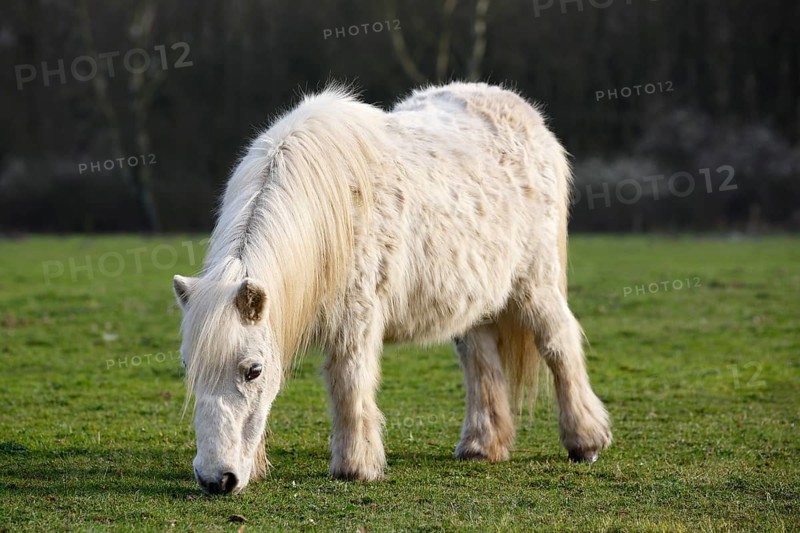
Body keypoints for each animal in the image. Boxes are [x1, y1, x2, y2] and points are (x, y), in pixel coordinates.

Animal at [173, 82, 611, 495]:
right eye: (188, 366)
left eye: (253, 371)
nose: (217, 479)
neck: (332, 206)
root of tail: (527, 118)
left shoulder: (356, 319)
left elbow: (348, 383)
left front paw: (356, 467)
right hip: (476, 302)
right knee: (481, 361)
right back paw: (482, 445)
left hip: (535, 285)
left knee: (559, 344)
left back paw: (585, 440)